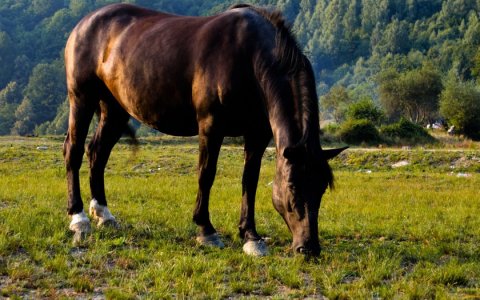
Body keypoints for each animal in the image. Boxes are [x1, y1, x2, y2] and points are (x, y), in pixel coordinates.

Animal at [65, 2, 346, 255]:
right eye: (292, 186)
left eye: (322, 187)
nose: (308, 247)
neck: (249, 57)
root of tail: (84, 23)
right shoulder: (211, 126)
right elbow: (206, 174)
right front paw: (206, 230)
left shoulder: (258, 134)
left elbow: (250, 180)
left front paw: (250, 236)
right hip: (82, 99)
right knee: (74, 150)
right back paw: (79, 218)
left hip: (114, 109)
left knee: (97, 153)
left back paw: (104, 214)